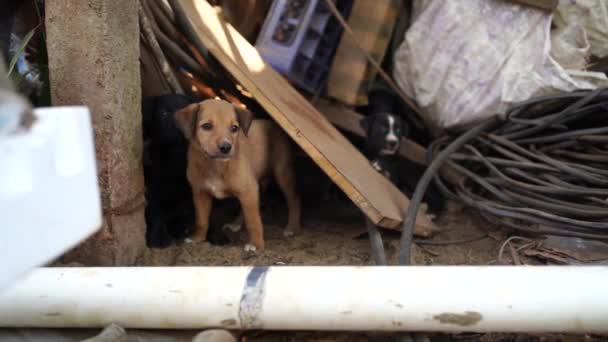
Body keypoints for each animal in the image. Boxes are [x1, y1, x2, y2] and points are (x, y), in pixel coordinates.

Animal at [175, 98, 300, 251]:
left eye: (234, 128)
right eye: (207, 126)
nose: (226, 147)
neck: (215, 165)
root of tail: (274, 123)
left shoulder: (249, 189)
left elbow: (253, 220)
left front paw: (256, 244)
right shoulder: (200, 193)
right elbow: (201, 219)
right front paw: (197, 238)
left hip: (282, 173)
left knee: (294, 199)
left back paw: (292, 228)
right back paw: (235, 224)